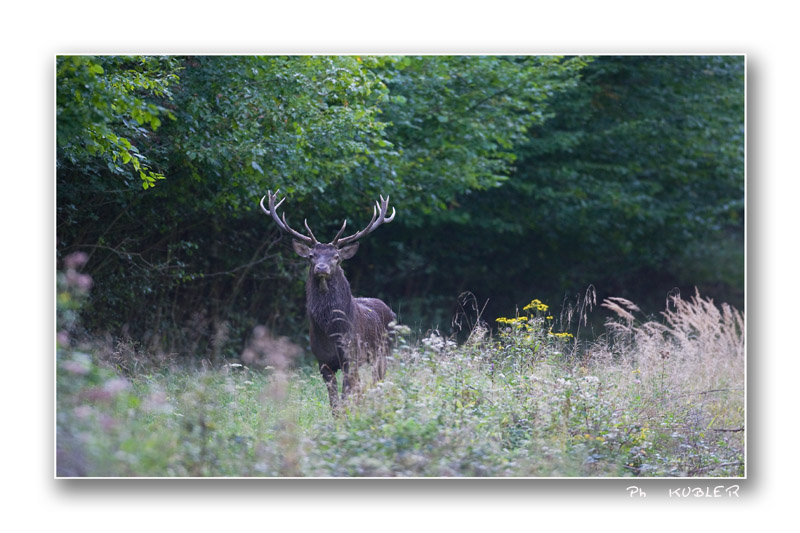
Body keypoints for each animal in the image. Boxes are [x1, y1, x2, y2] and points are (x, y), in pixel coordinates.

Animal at [260, 190, 397, 413]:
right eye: (311, 255)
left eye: (336, 256)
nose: (321, 268)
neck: (331, 331)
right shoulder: (322, 361)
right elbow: (334, 401)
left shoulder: (351, 357)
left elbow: (346, 395)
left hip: (384, 352)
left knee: (377, 381)